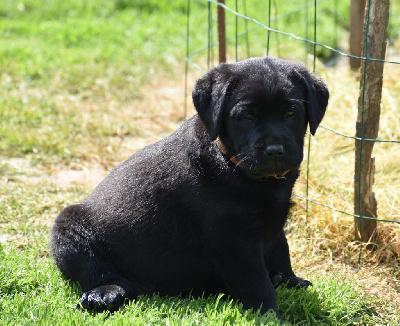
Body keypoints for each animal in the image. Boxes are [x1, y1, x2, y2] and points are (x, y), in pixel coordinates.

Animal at [50, 56, 328, 320]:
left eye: (290, 113)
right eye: (247, 116)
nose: (274, 151)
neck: (231, 162)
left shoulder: (273, 219)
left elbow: (281, 249)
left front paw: (291, 281)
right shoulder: (234, 241)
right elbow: (256, 282)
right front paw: (270, 315)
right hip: (67, 231)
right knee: (101, 274)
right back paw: (103, 295)